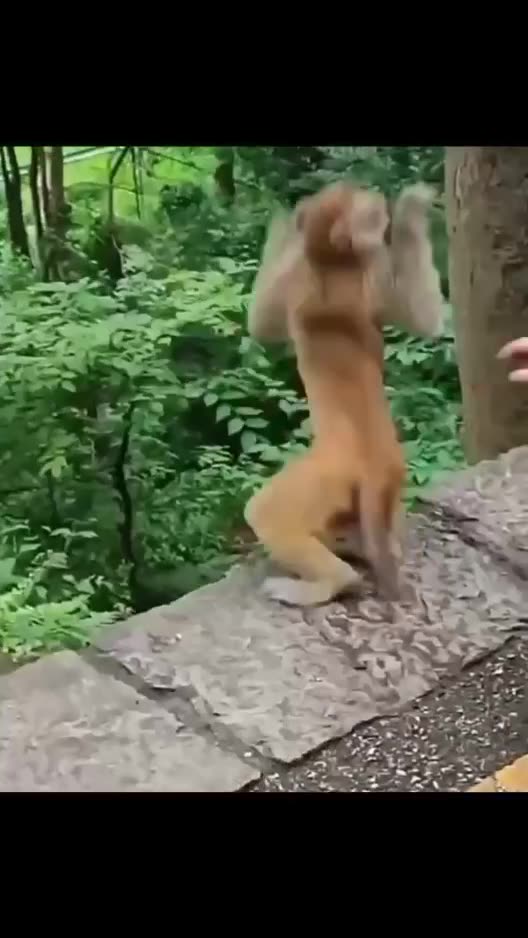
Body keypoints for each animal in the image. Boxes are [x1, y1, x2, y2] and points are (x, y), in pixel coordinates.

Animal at [243, 182, 406, 606]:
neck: (333, 260)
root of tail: (374, 463)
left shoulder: (294, 283)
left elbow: (261, 323)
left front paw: (281, 225)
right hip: (391, 479)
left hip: (322, 480)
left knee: (264, 513)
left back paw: (329, 581)